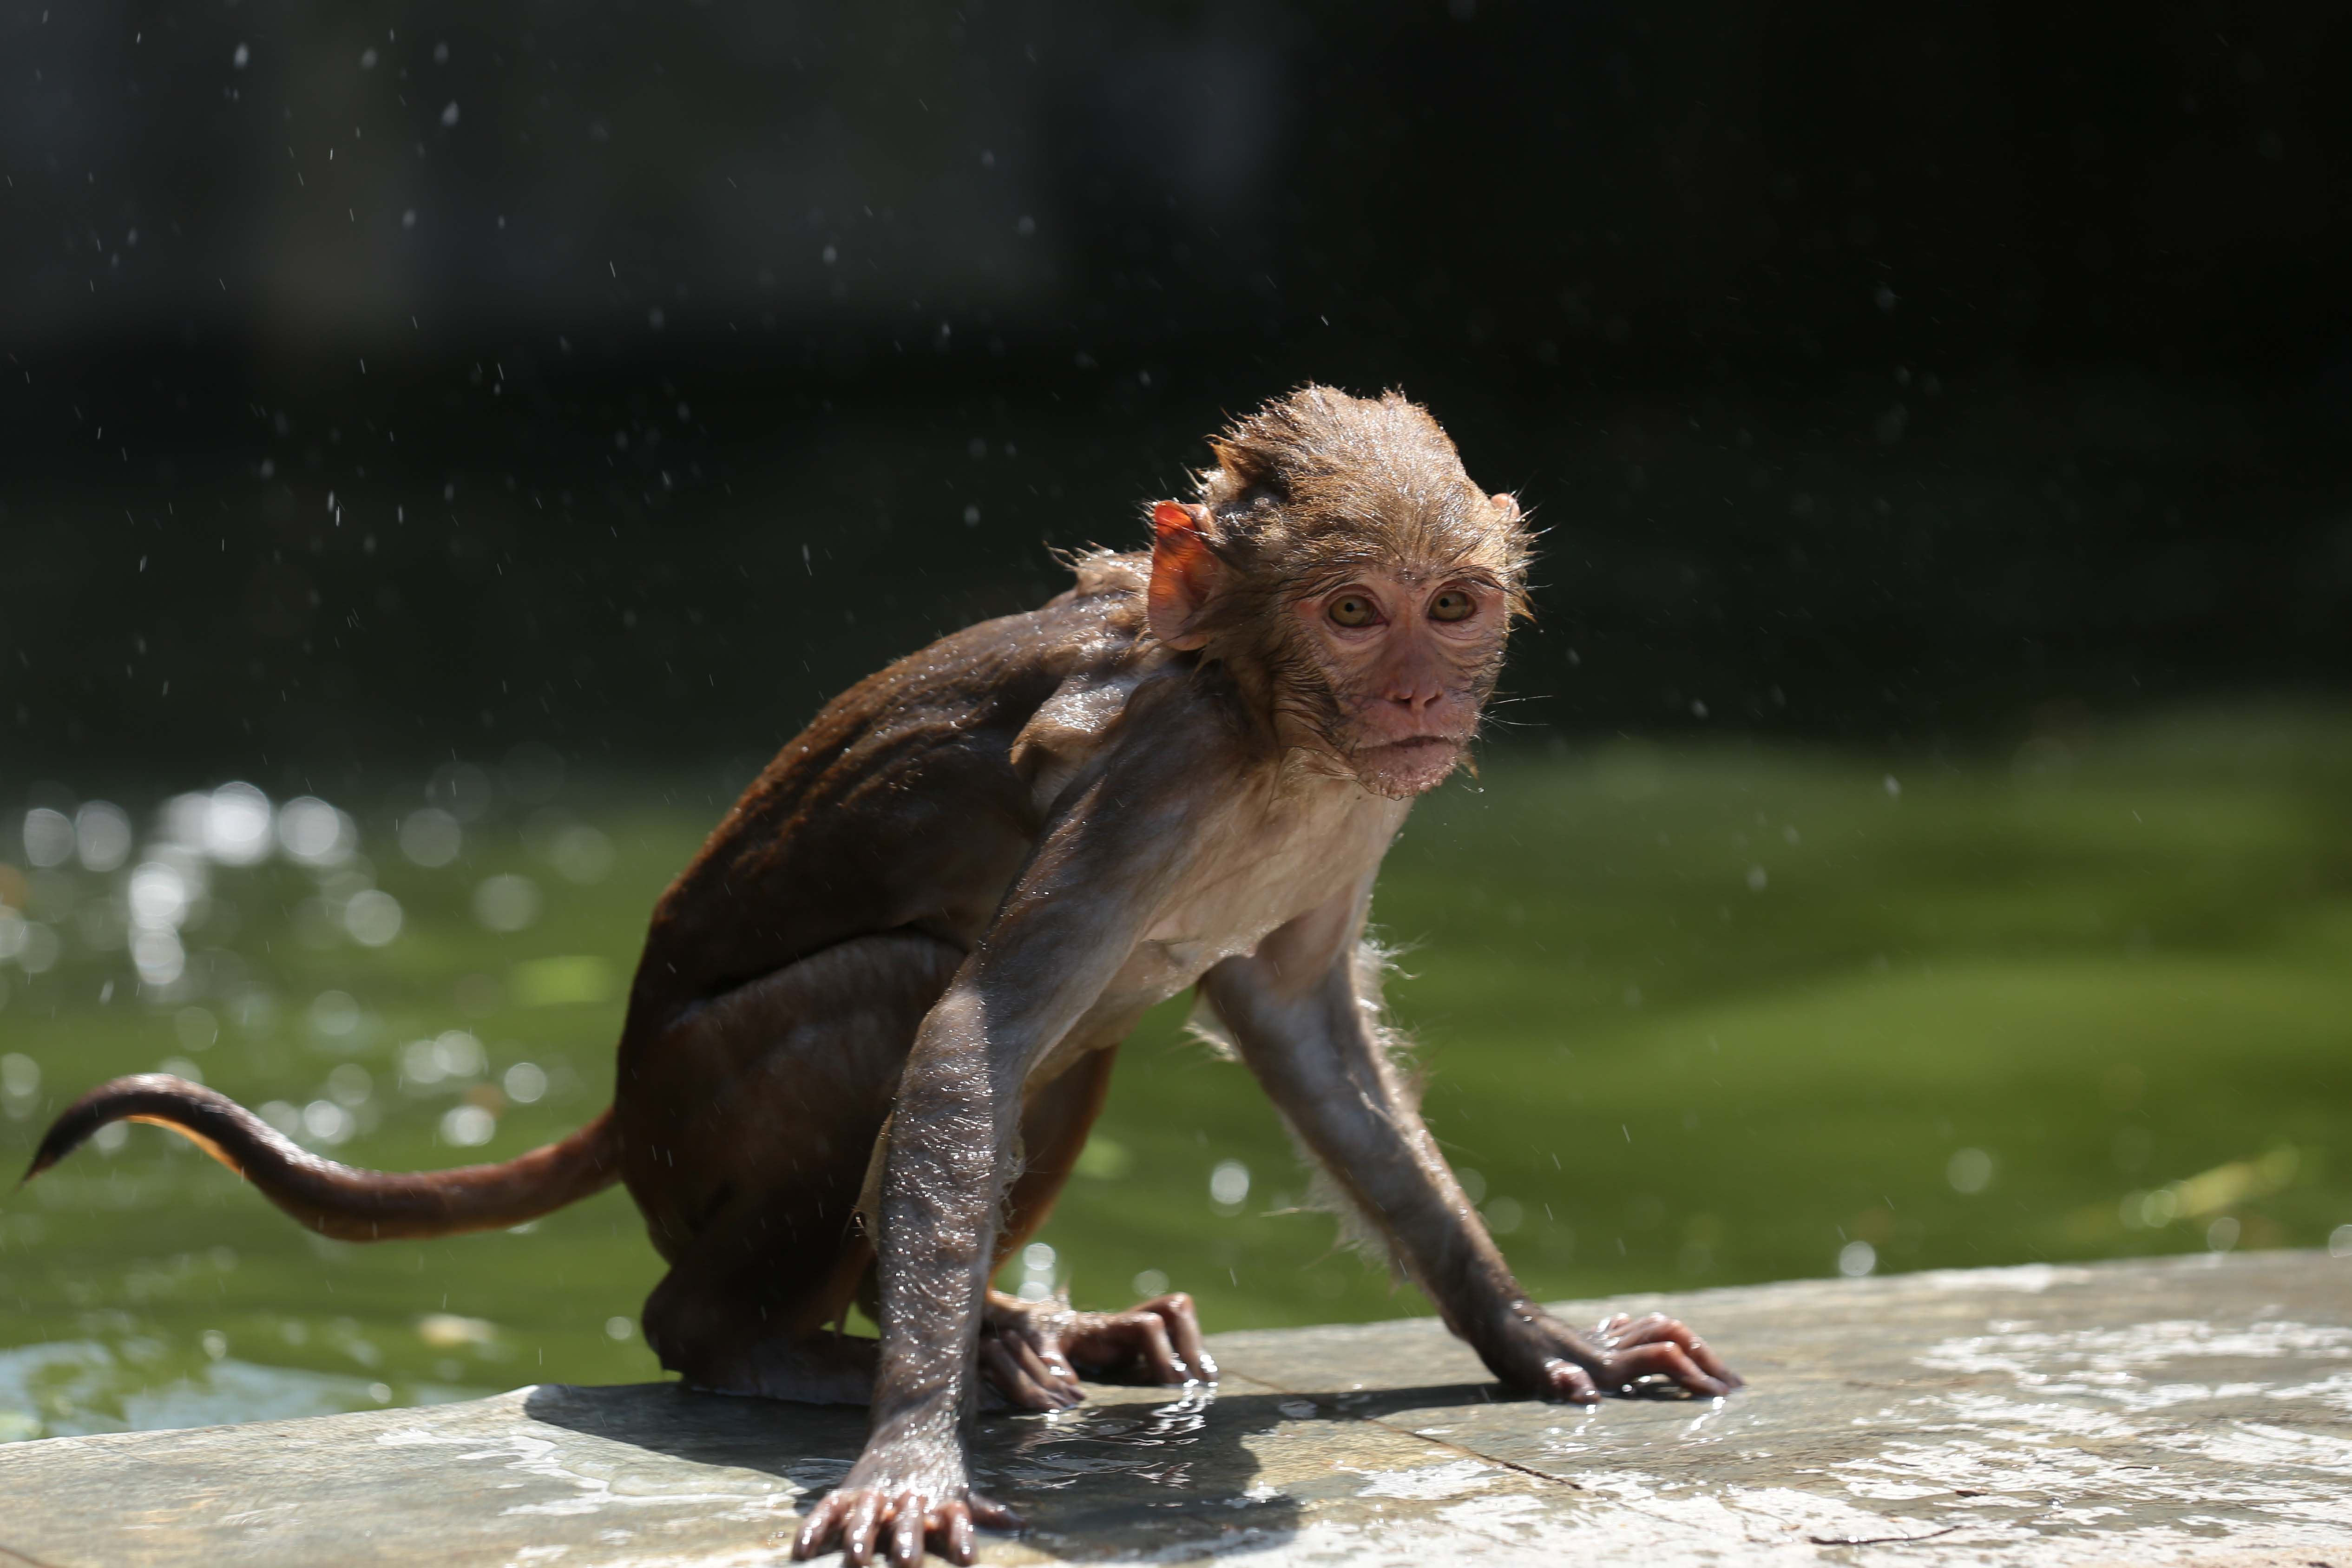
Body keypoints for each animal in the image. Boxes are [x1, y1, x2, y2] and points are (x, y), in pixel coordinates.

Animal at [26, 386, 1739, 1567]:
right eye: (1348, 608)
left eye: (1449, 605)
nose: (1413, 693)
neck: (1274, 734)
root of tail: (620, 1099)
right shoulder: (1157, 777)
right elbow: (968, 1030)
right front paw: (907, 1448)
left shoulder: (1360, 807)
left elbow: (1307, 1044)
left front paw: (1535, 1334)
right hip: (698, 1117)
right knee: (901, 1004)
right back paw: (800, 1348)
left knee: (1070, 1050)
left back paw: (1027, 1328)